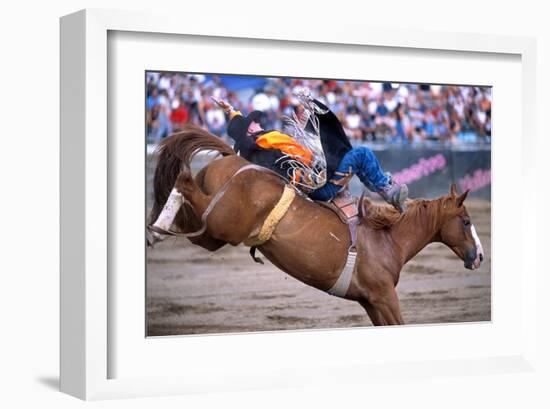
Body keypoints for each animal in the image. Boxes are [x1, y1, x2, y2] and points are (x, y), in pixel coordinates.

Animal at [149, 124, 486, 326]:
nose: (480, 256)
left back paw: (156, 231)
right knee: (183, 181)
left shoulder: (370, 302)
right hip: (223, 224)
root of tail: (231, 157)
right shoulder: (384, 297)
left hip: (212, 233)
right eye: (466, 221)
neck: (388, 239)